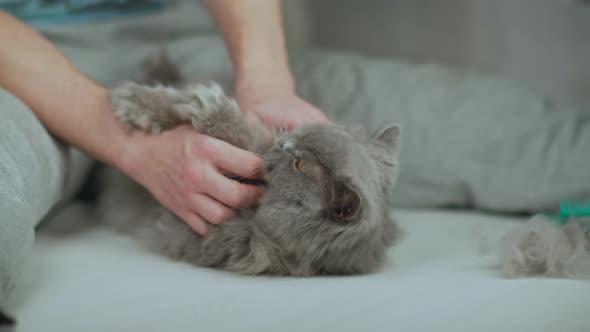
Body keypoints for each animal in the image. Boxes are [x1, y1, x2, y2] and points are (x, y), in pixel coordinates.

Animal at [102, 57, 404, 278]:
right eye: (302, 131)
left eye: (300, 165)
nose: (284, 143)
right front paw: (135, 99)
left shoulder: (222, 237)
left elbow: (236, 133)